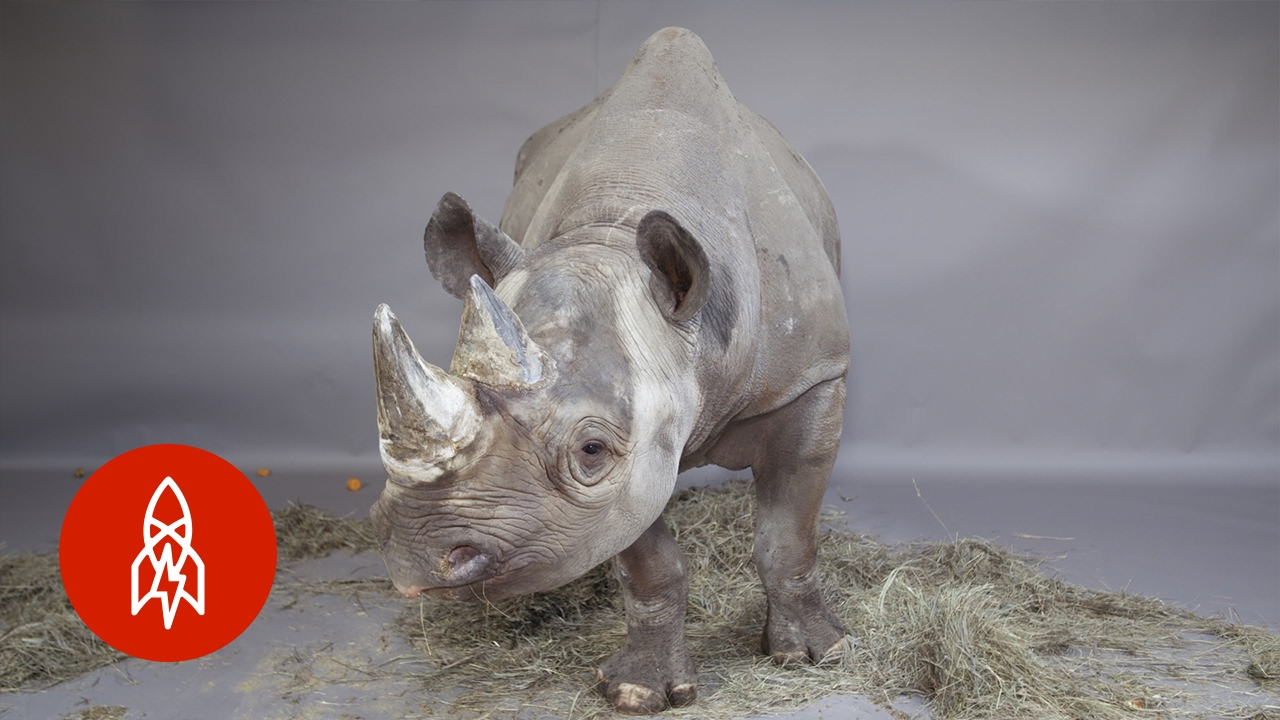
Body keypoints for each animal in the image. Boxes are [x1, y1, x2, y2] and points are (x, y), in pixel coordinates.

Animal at [371, 27, 849, 714]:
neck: (615, 228)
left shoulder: (812, 379)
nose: (412, 557)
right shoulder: (631, 464)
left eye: (591, 450)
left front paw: (815, 654)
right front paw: (638, 692)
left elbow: (787, 537)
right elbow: (648, 562)